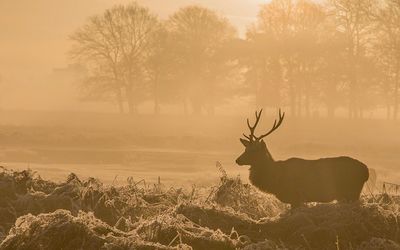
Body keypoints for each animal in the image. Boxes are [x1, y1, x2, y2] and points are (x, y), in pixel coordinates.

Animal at [236, 109, 370, 209]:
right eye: (245, 148)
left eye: (254, 150)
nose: (237, 160)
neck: (275, 178)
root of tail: (366, 171)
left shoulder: (296, 196)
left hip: (352, 192)